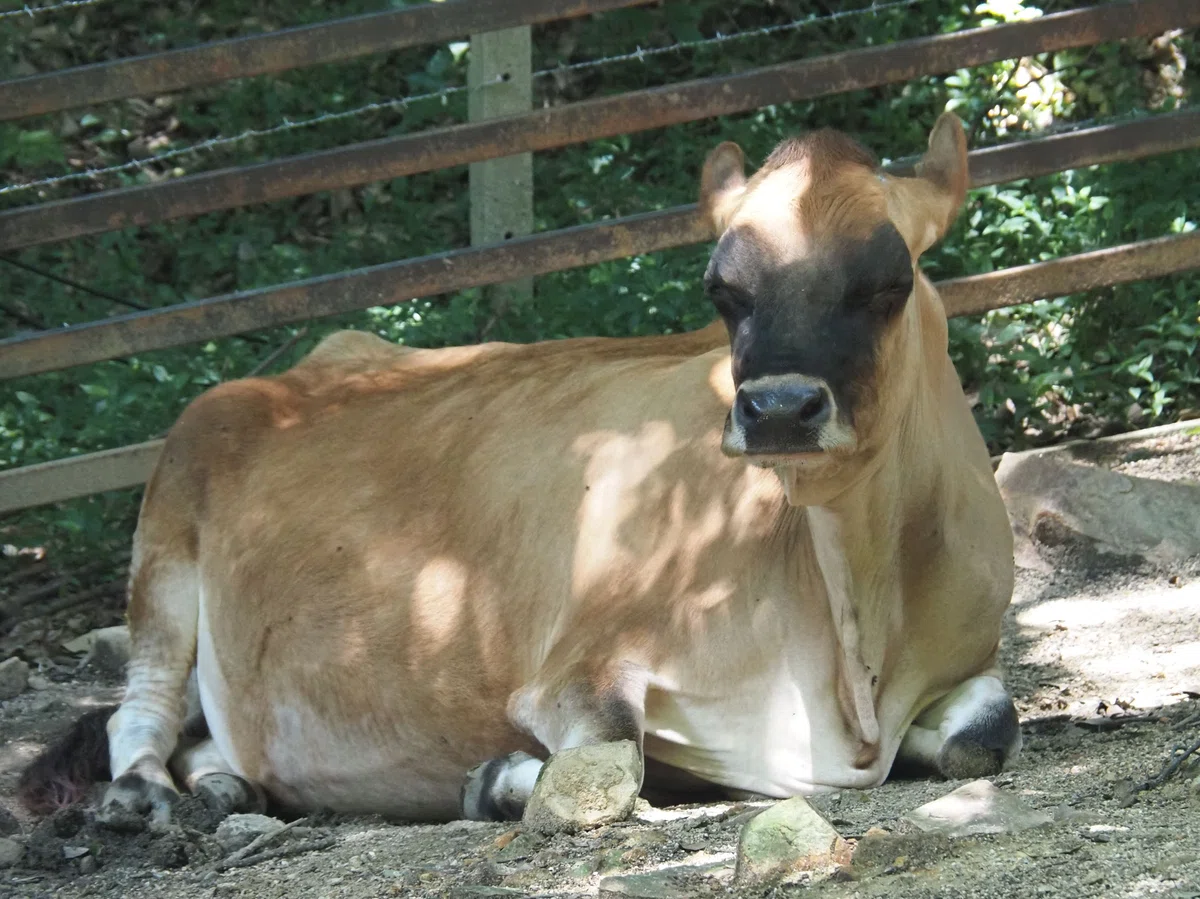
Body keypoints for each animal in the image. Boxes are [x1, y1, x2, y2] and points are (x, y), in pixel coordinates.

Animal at [19, 111, 1019, 828]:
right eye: (722, 292)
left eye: (887, 283)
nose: (777, 408)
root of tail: (301, 369)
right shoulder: (576, 665)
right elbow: (606, 770)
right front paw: (500, 777)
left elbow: (990, 730)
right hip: (164, 547)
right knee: (137, 710)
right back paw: (142, 797)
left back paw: (229, 787)